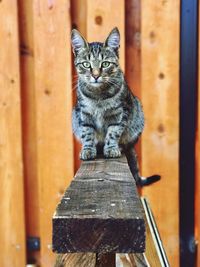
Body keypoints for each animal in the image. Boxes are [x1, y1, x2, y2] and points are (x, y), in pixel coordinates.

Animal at [71, 26, 160, 186]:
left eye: (105, 64)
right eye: (86, 64)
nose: (95, 75)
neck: (99, 97)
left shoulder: (120, 113)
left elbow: (113, 132)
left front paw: (111, 148)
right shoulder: (84, 114)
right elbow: (87, 132)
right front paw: (88, 149)